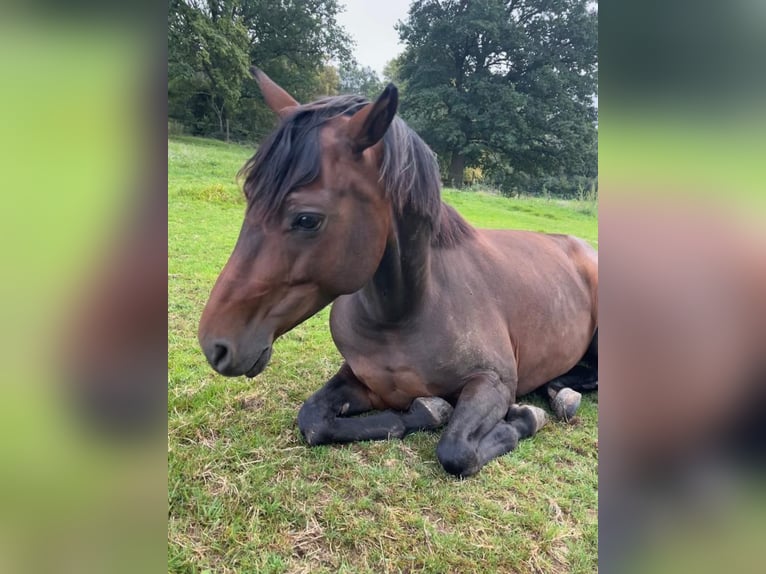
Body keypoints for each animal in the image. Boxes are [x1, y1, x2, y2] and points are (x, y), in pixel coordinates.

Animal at [198, 67, 600, 480]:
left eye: (307, 219)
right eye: (249, 196)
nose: (215, 345)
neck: (403, 315)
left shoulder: (494, 383)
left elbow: (457, 451)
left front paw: (525, 417)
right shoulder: (360, 379)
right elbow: (314, 419)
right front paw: (430, 409)